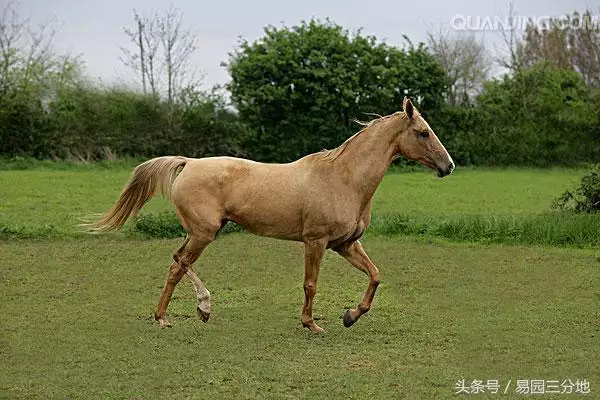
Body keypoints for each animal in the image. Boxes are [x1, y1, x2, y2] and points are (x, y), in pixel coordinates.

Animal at [85, 96, 454, 332]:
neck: (344, 179)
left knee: (176, 264)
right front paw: (311, 324)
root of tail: (188, 163)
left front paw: (350, 316)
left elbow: (375, 276)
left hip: (202, 232)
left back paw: (176, 314)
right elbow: (310, 284)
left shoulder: (345, 244)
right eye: (423, 132)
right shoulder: (316, 242)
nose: (448, 166)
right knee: (180, 264)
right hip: (204, 233)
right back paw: (193, 309)